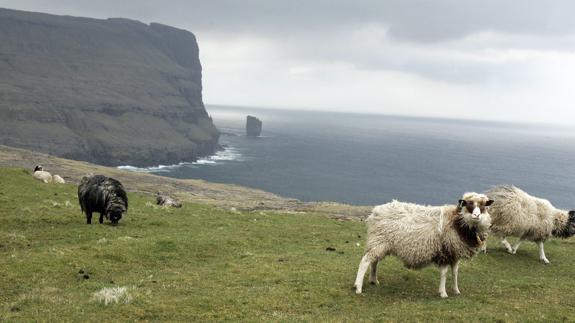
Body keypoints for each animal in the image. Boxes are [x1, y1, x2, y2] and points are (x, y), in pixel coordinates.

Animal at [356, 192, 496, 298]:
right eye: (468, 204)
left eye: (483, 205)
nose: (476, 215)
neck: (457, 221)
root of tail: (375, 211)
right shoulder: (444, 252)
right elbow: (444, 273)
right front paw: (443, 293)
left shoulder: (454, 254)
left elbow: (455, 272)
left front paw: (456, 290)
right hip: (378, 240)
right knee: (365, 261)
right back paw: (358, 287)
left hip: (380, 244)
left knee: (374, 262)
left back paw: (374, 280)